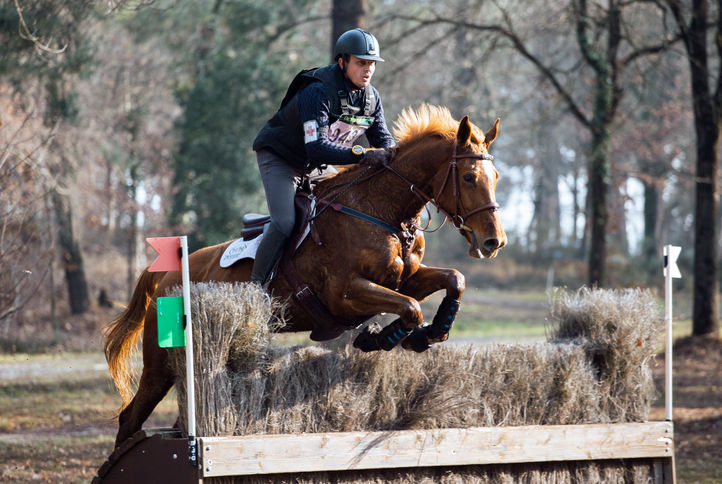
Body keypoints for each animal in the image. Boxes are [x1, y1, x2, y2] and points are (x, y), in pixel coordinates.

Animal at [104, 104, 506, 447]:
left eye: (497, 177)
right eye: (469, 177)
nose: (494, 242)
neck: (380, 210)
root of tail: (163, 276)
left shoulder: (404, 279)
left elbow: (453, 279)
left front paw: (431, 333)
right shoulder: (345, 294)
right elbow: (409, 308)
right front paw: (381, 338)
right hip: (160, 365)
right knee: (129, 417)